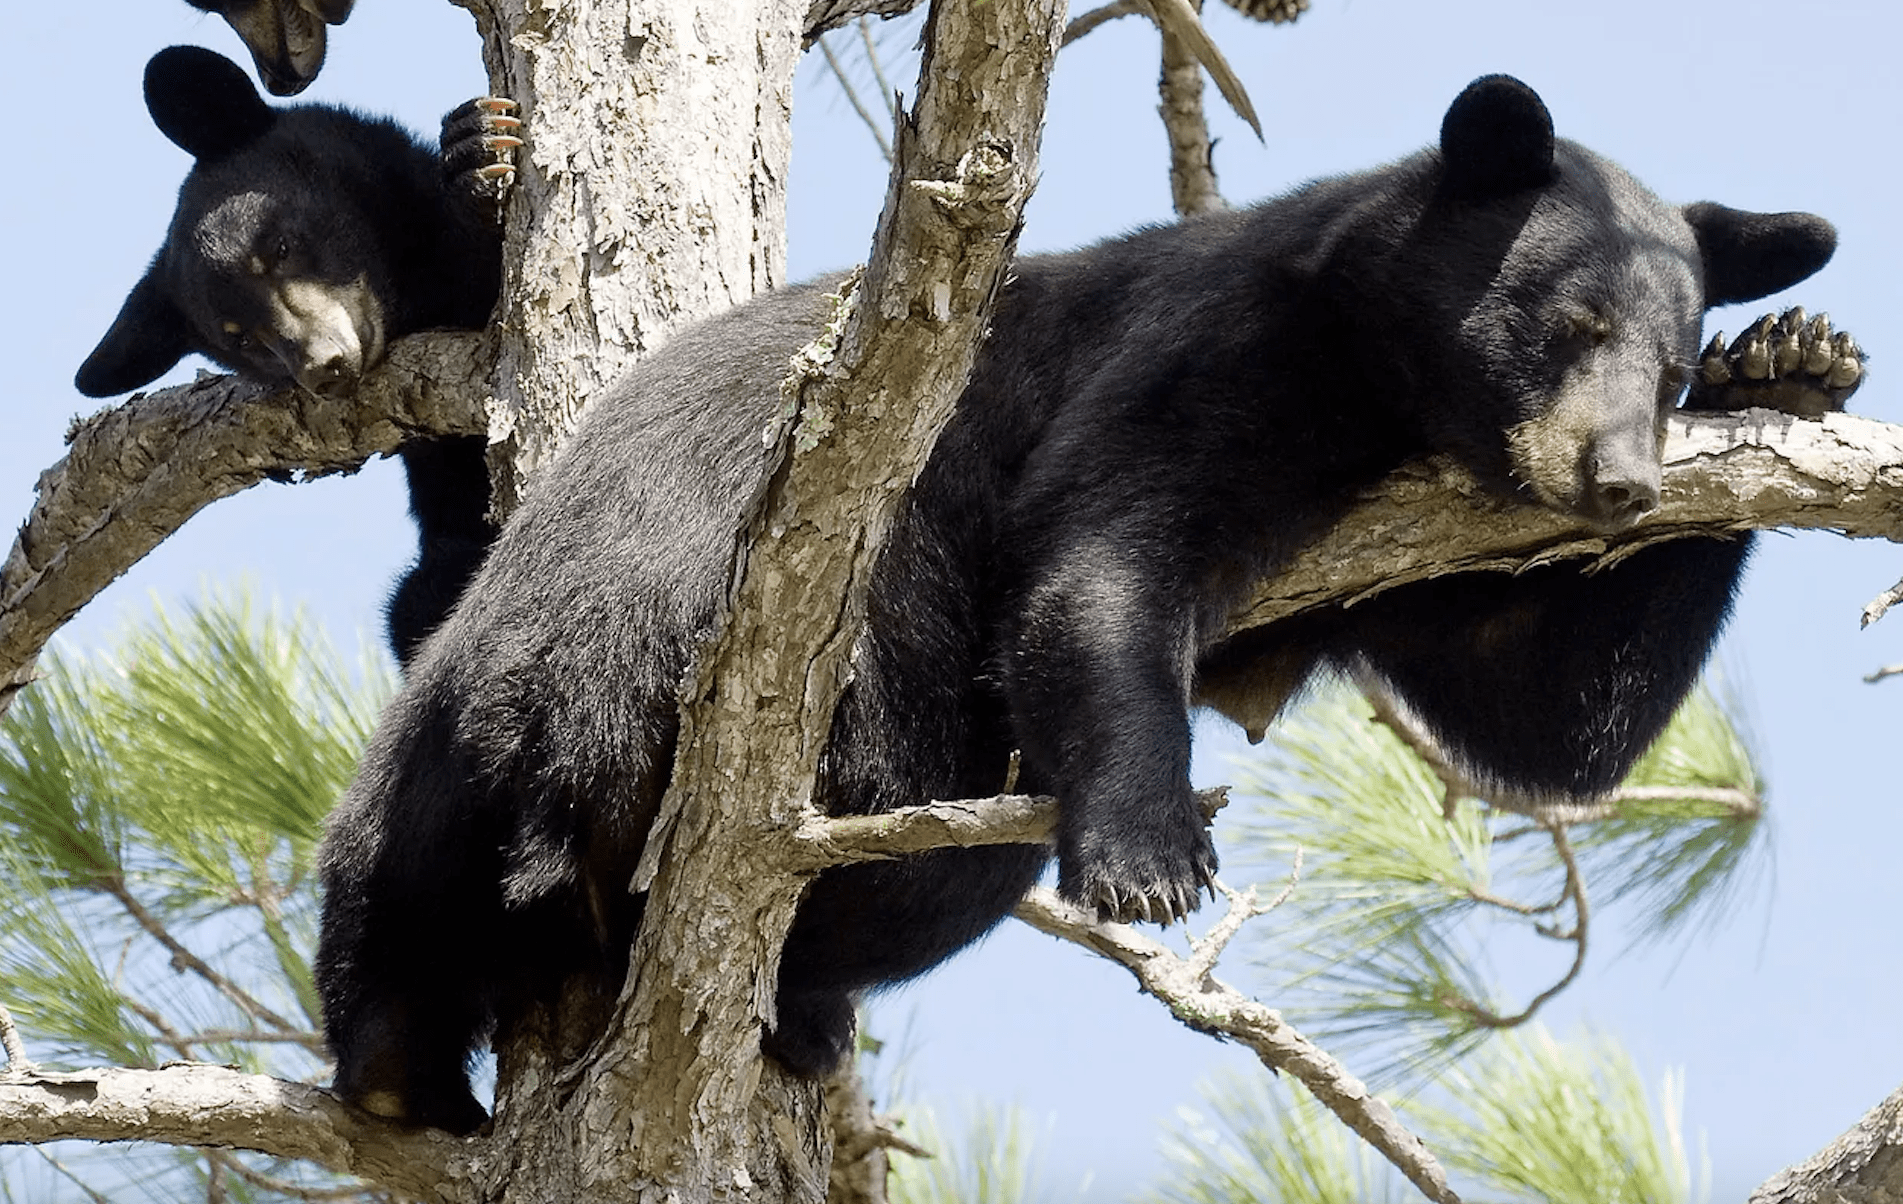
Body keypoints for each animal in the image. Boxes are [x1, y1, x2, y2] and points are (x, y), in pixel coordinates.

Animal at [315, 72, 1857, 1126]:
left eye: (1670, 365)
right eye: (1568, 325)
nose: (1618, 484)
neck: (1386, 395)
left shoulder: (1416, 555)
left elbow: (1542, 720)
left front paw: (1790, 361)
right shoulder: (1209, 345)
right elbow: (1105, 555)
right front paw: (1148, 852)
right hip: (727, 665)